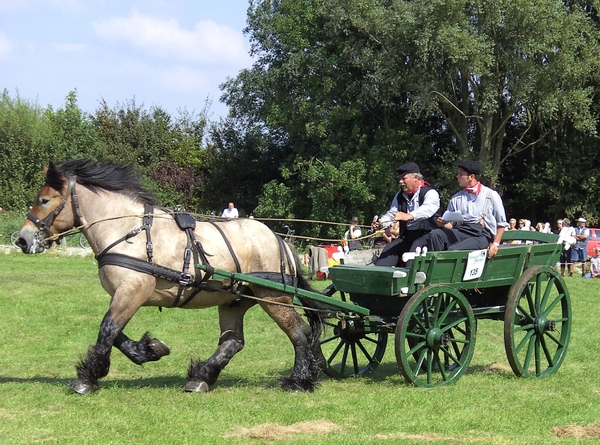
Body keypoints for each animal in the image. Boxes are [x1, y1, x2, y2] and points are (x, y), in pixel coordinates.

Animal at [15, 159, 324, 392]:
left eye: (44, 200)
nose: (22, 239)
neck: (127, 231)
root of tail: (280, 239)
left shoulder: (133, 290)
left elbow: (108, 330)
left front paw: (87, 378)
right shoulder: (125, 294)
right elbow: (114, 332)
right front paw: (149, 349)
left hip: (274, 297)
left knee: (300, 332)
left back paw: (300, 380)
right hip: (234, 300)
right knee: (233, 341)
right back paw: (201, 377)